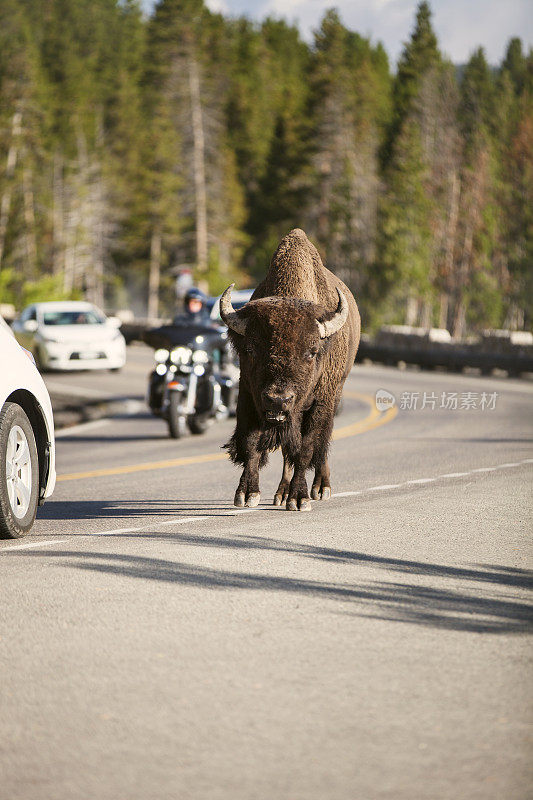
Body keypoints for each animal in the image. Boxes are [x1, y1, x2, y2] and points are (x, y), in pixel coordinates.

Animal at [218, 228, 360, 510]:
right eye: (250, 349)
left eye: (312, 351)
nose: (278, 399)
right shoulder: (249, 394)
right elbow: (252, 444)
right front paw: (247, 494)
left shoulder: (319, 403)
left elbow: (306, 447)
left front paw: (299, 498)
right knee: (287, 451)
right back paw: (281, 493)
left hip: (334, 394)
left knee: (321, 444)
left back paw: (320, 488)